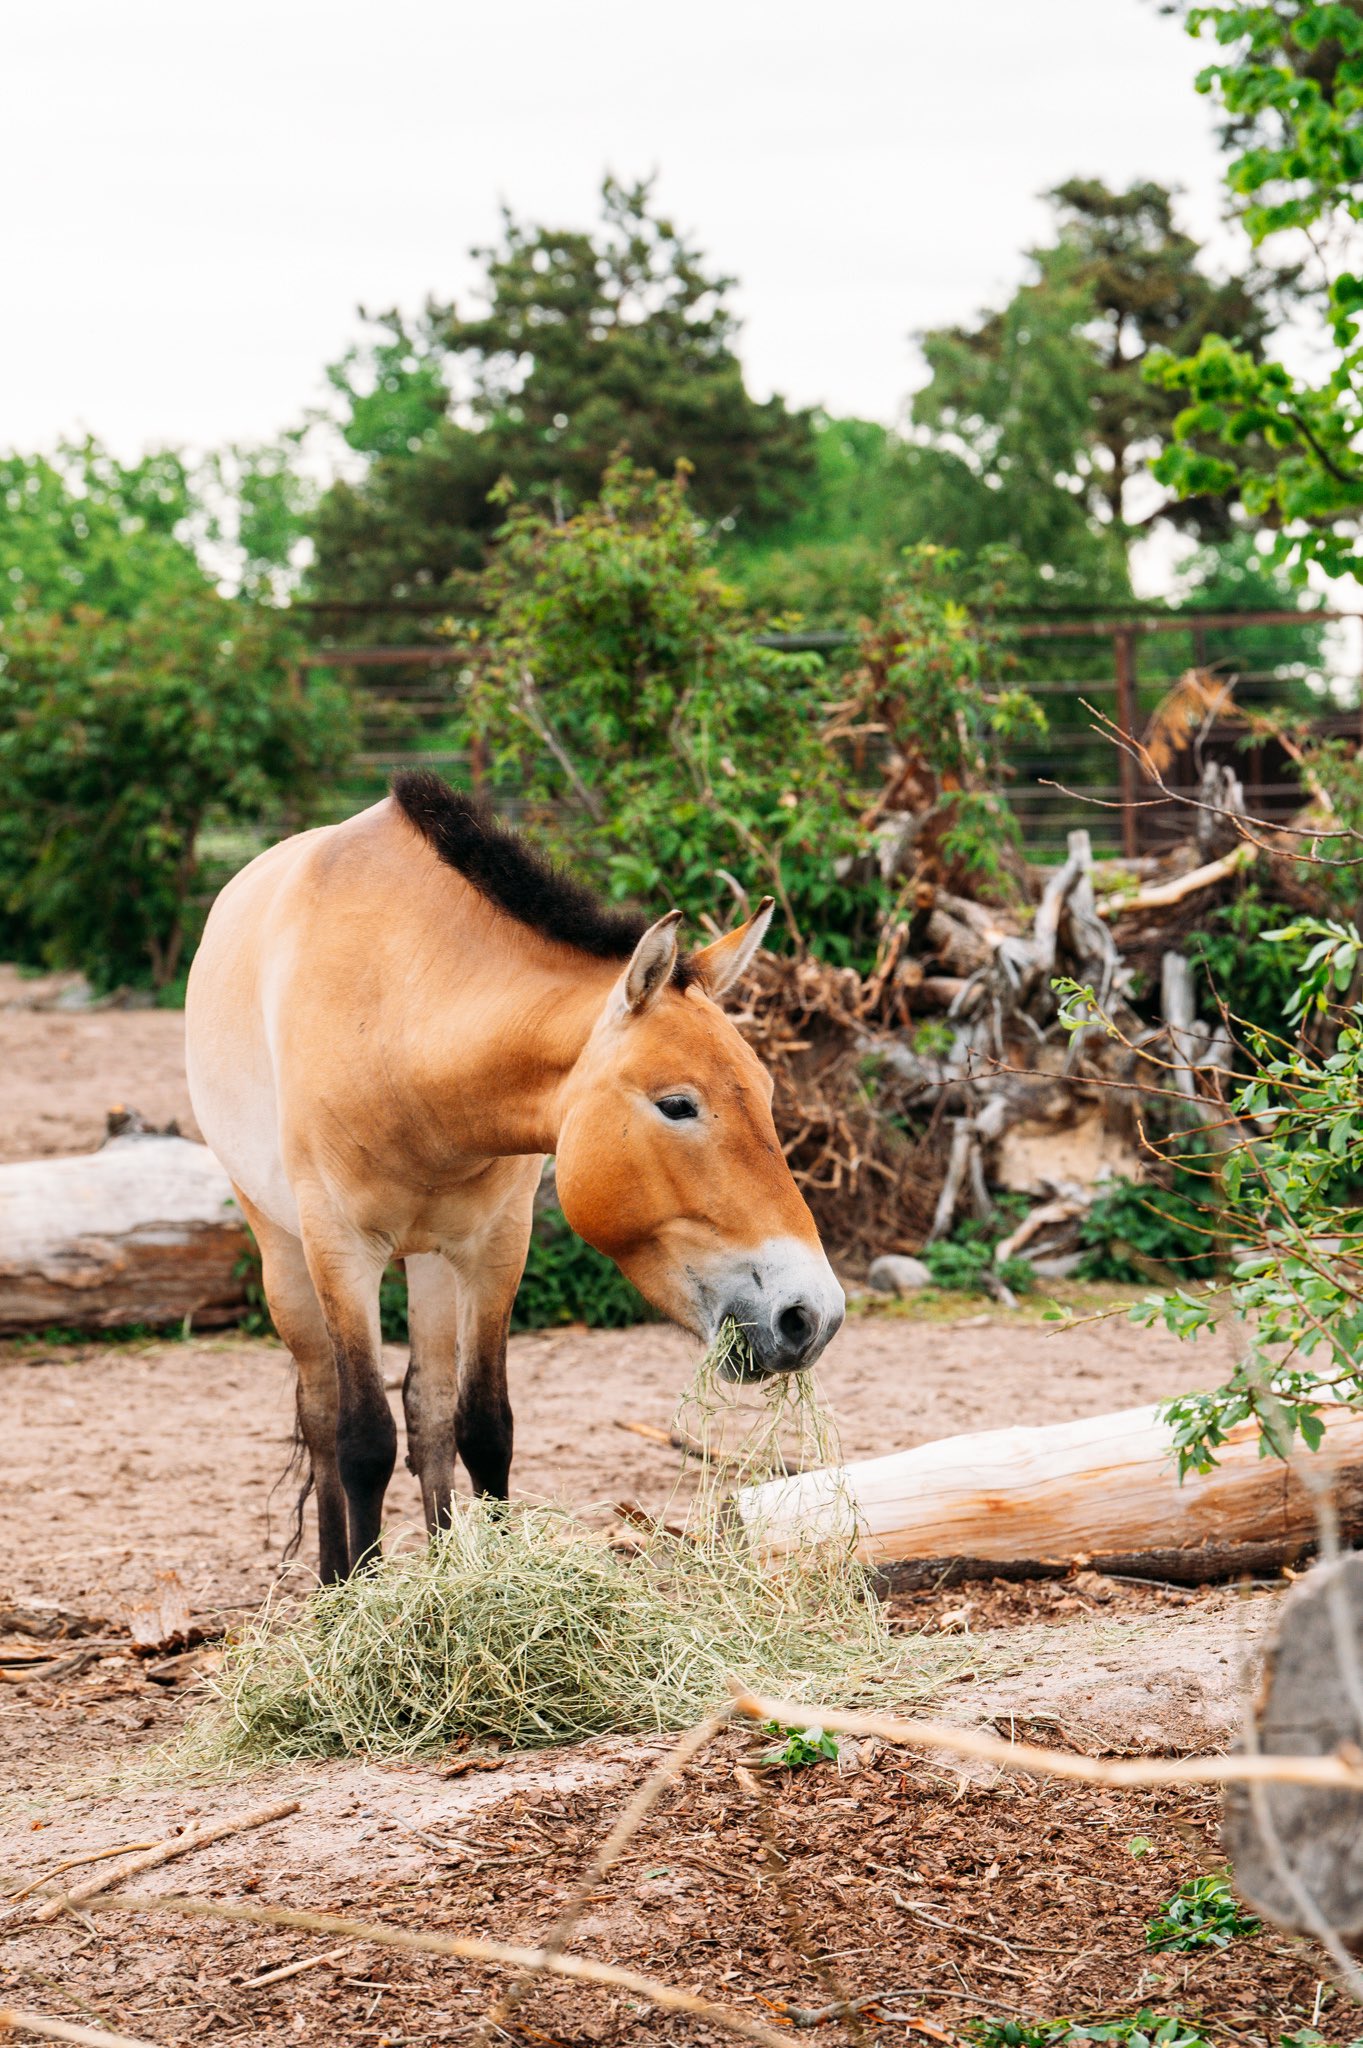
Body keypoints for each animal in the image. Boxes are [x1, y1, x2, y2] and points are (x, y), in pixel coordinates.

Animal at [180, 770, 839, 1581]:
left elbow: (484, 1428)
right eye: (677, 1104)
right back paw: (335, 1580)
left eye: (767, 1093)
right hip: (282, 1250)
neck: (400, 1014)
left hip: (431, 1261)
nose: (812, 1315)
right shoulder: (340, 1249)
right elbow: (361, 1441)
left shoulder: (496, 1248)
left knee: (428, 1409)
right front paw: (363, 1596)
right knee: (322, 1412)